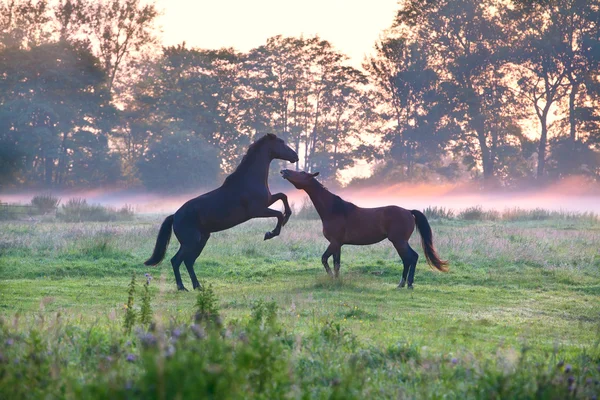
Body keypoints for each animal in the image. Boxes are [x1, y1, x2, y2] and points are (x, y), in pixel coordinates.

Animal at [144, 134, 298, 290]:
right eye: (281, 143)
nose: (296, 156)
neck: (249, 180)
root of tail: (175, 216)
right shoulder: (257, 210)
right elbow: (278, 214)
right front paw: (270, 234)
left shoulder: (267, 201)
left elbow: (283, 196)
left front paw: (287, 217)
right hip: (190, 242)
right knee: (176, 261)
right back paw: (182, 287)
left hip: (201, 240)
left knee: (188, 261)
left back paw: (197, 286)